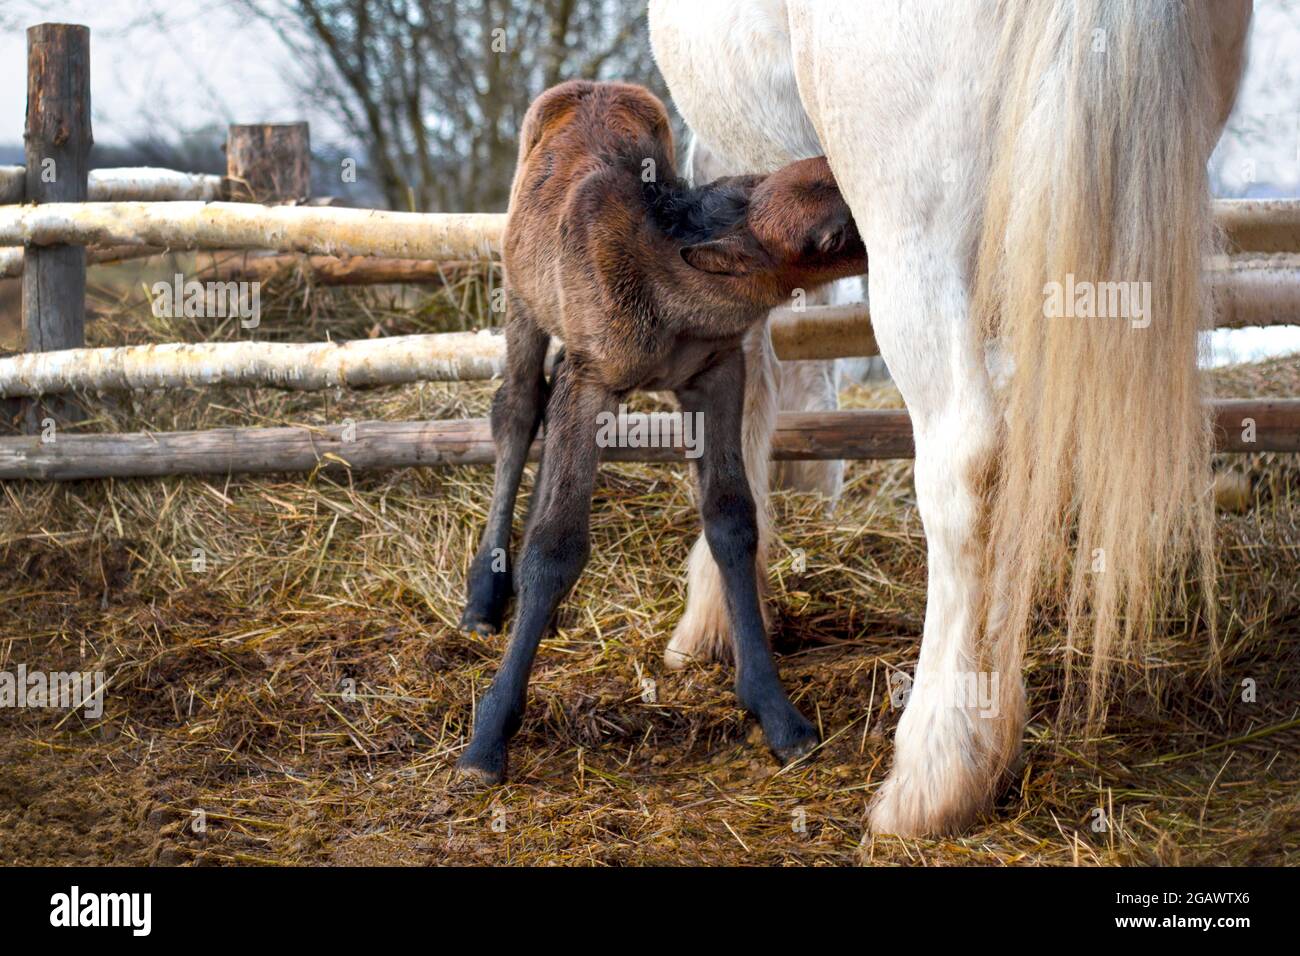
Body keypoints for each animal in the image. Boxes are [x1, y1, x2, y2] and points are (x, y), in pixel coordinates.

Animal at [650, 0, 1248, 832]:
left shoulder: (729, 168)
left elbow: (746, 397)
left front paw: (711, 612)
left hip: (918, 232)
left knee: (968, 464)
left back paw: (939, 767)